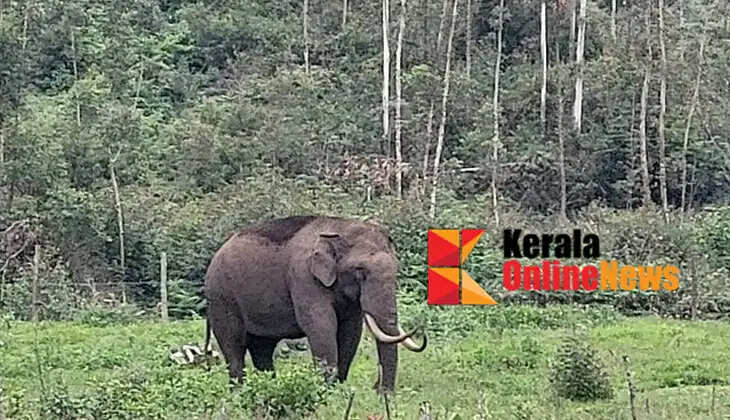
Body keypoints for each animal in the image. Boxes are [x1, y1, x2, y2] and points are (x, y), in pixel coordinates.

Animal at [203, 215, 426, 393]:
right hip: (222, 298)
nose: (380, 391)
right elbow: (321, 326)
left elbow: (351, 331)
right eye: (360, 272)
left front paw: (338, 389)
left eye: (396, 269)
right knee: (234, 348)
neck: (339, 227)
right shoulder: (303, 277)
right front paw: (326, 392)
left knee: (262, 349)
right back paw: (238, 392)